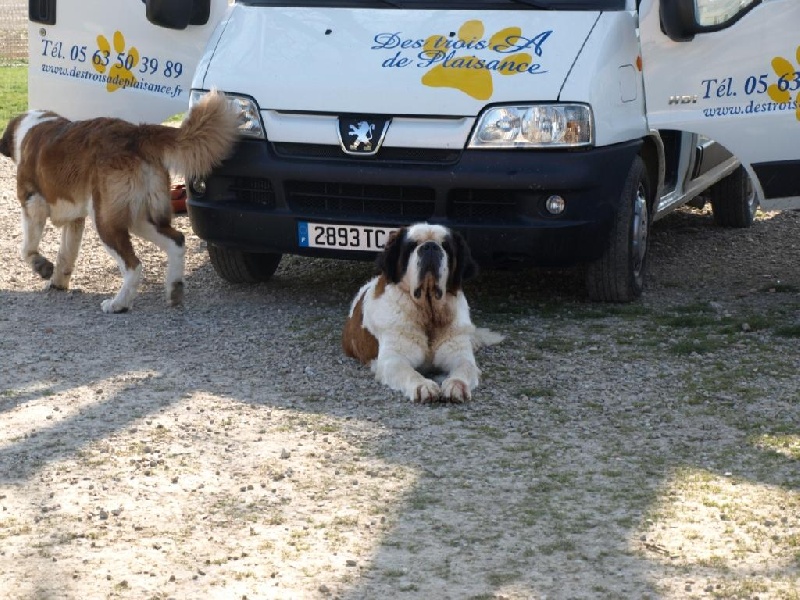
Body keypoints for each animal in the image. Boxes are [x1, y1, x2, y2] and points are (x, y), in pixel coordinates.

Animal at [0, 90, 239, 314]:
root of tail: (137, 133)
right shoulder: (75, 220)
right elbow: (66, 253)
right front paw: (58, 281)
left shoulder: (32, 204)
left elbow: (27, 249)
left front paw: (42, 267)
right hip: (140, 217)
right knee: (176, 241)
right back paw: (174, 288)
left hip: (106, 220)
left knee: (133, 265)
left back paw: (119, 304)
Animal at [340, 224, 504, 404]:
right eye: (412, 245)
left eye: (445, 246)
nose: (430, 246)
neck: (428, 311)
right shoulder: (393, 358)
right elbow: (408, 372)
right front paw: (422, 386)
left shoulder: (459, 353)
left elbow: (465, 366)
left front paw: (456, 384)